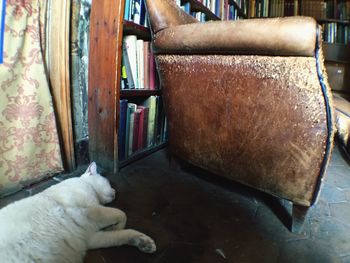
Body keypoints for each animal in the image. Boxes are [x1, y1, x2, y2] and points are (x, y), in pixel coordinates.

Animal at [0, 162, 156, 262]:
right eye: (109, 183)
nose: (115, 191)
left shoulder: (89, 237)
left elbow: (121, 236)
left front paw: (143, 242)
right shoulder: (90, 212)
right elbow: (121, 214)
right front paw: (116, 226)